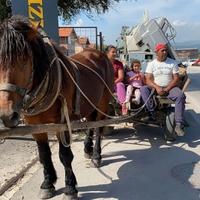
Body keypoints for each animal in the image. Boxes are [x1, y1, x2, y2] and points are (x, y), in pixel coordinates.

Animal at [0, 16, 114, 200]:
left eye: (24, 59)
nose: (6, 115)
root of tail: (99, 53)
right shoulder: (34, 125)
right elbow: (44, 154)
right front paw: (48, 183)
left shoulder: (62, 122)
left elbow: (65, 156)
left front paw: (70, 187)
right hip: (90, 102)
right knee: (90, 123)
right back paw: (87, 149)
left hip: (103, 100)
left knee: (99, 127)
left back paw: (96, 155)